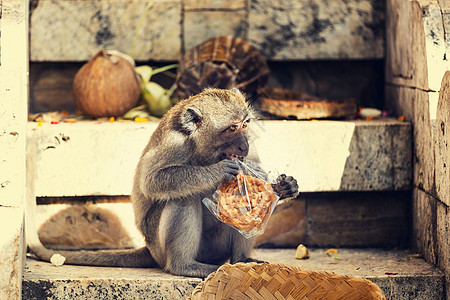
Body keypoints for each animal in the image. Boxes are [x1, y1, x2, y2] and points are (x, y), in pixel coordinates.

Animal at [26, 88, 298, 278]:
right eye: (231, 128)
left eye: (245, 124)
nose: (244, 145)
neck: (203, 150)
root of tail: (151, 251)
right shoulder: (173, 144)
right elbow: (152, 181)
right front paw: (219, 171)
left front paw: (285, 187)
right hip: (161, 245)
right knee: (183, 197)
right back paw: (184, 266)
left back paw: (241, 259)